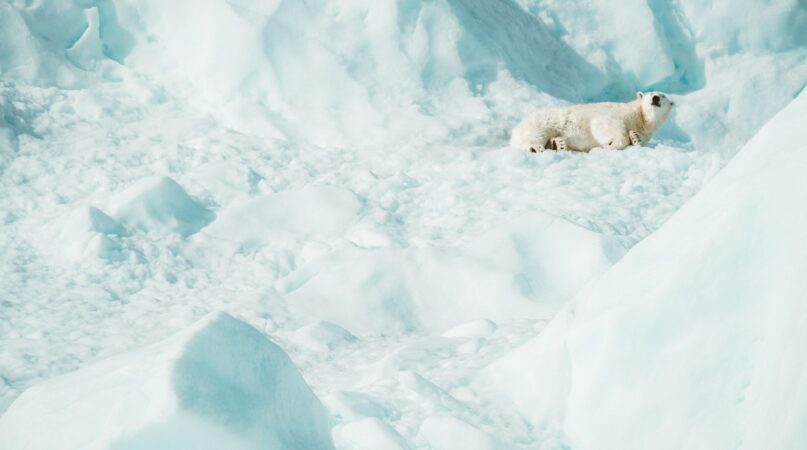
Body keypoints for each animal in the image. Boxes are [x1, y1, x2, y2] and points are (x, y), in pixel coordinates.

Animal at [512, 91, 676, 153]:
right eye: (650, 93)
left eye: (663, 95)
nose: (655, 98)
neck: (640, 117)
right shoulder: (617, 113)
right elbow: (604, 123)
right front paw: (611, 144)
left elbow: (638, 137)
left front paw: (635, 137)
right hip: (542, 122)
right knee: (535, 135)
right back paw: (536, 147)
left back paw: (559, 144)